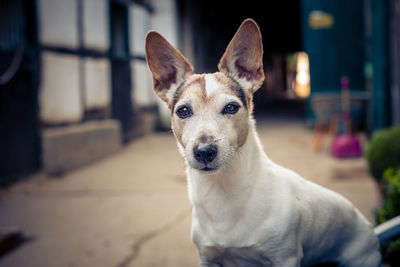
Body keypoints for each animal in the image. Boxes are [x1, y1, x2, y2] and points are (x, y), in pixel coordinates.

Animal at [146, 19, 382, 267]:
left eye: (231, 107)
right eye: (183, 111)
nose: (204, 152)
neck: (224, 192)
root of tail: (370, 230)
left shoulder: (285, 257)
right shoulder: (208, 258)